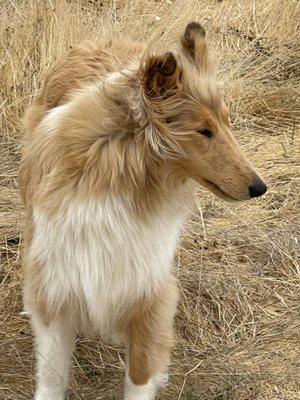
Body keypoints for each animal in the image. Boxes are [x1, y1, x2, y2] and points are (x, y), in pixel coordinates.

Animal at [19, 22, 268, 400]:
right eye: (203, 131)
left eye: (227, 122)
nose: (259, 187)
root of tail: (103, 41)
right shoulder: (56, 281)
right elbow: (52, 374)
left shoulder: (148, 288)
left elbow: (140, 372)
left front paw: (152, 375)